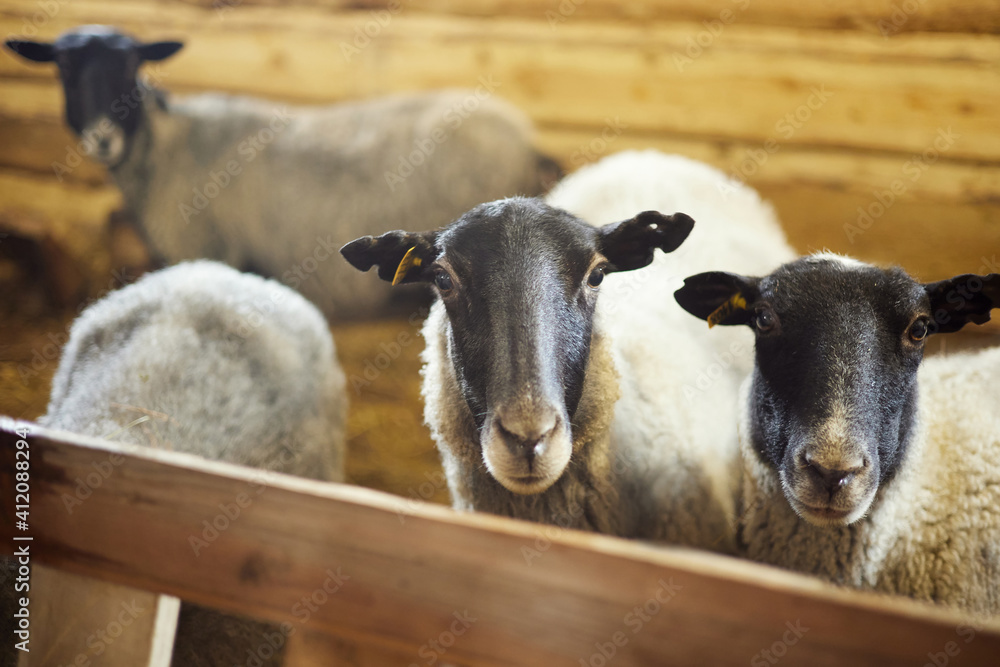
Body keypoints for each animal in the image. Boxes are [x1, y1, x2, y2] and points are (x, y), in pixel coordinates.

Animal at [4, 25, 560, 320]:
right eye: (63, 69)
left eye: (129, 68)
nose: (102, 138)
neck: (166, 148)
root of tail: (528, 141)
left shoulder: (205, 251)